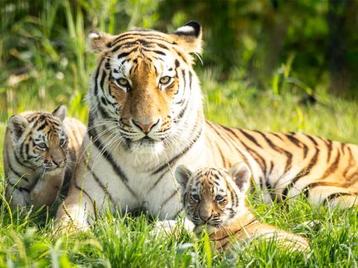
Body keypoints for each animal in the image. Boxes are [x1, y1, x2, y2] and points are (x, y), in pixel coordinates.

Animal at [55, 21, 358, 230]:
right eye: (122, 82)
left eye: (164, 80)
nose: (145, 125)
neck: (141, 161)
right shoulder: (83, 197)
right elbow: (64, 222)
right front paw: (72, 240)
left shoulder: (192, 203)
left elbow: (177, 227)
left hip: (314, 189)